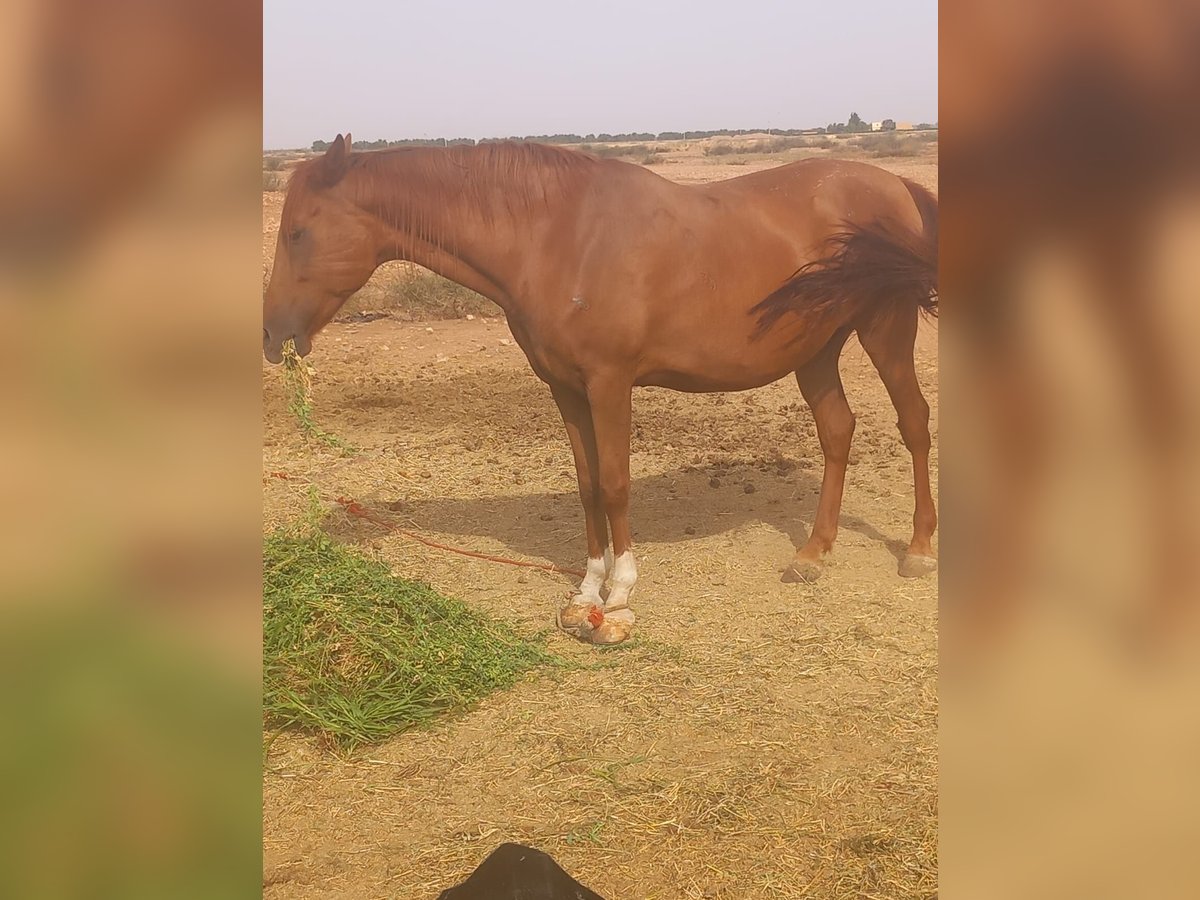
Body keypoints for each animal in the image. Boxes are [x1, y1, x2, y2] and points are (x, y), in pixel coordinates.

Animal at [262, 133, 936, 643]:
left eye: (297, 232)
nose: (271, 334)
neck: (554, 235)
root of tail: (896, 186)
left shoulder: (610, 382)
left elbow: (614, 483)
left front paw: (618, 597)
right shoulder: (565, 386)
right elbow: (587, 485)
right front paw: (585, 592)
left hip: (887, 329)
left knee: (914, 423)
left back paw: (919, 548)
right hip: (816, 349)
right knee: (838, 431)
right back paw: (813, 554)